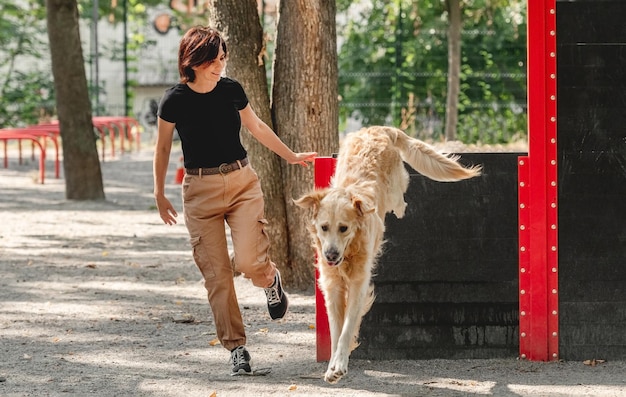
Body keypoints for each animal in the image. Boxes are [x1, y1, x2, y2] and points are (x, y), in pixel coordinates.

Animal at [294, 125, 480, 382]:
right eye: (324, 227)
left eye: (344, 228)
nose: (330, 255)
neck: (349, 252)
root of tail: (378, 129)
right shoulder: (333, 287)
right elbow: (336, 329)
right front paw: (332, 365)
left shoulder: (359, 284)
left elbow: (347, 328)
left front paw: (340, 364)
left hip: (393, 189)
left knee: (400, 199)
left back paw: (400, 209)